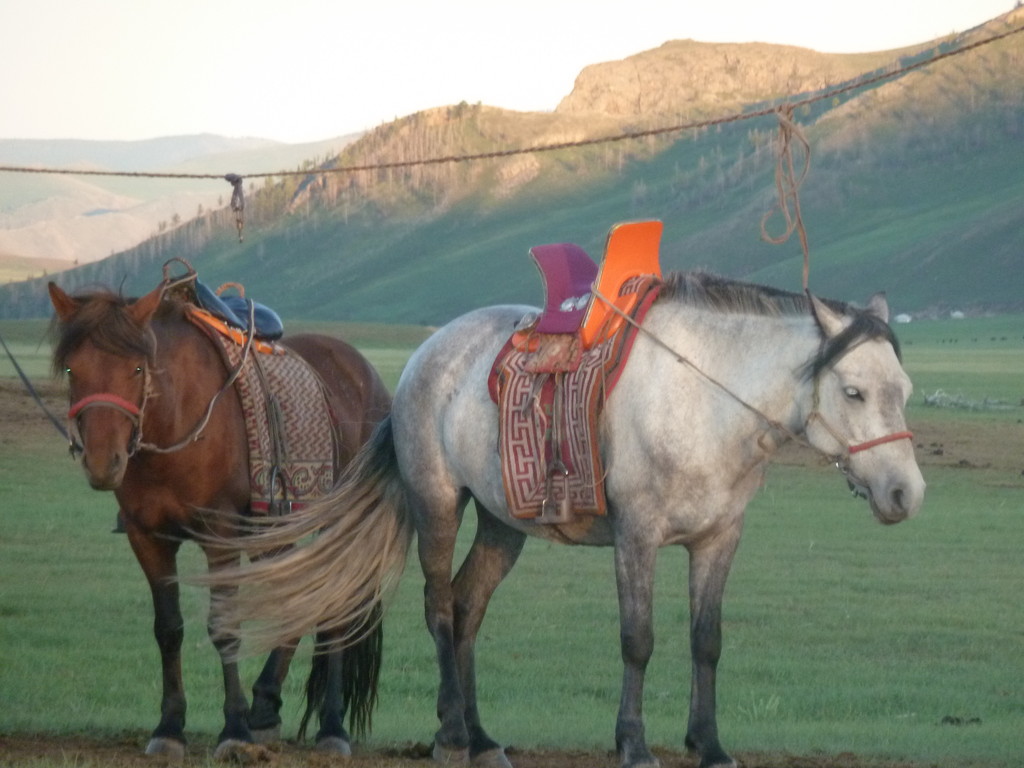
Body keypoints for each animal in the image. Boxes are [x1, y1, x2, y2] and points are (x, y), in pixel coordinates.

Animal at [47, 276, 391, 765]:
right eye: (73, 369)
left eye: (137, 368)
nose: (101, 462)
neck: (174, 420)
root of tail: (367, 375)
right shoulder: (148, 539)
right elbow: (168, 629)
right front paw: (170, 728)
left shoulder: (220, 536)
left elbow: (225, 629)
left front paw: (233, 730)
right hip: (275, 532)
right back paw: (266, 707)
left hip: (343, 522)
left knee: (338, 609)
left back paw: (331, 728)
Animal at [203, 272, 925, 768]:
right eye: (854, 391)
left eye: (905, 391)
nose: (905, 494)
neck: (704, 400)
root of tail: (423, 359)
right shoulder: (638, 537)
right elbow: (638, 639)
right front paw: (633, 744)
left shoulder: (719, 540)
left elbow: (706, 641)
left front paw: (710, 745)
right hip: (438, 503)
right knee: (440, 608)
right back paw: (451, 734)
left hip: (501, 525)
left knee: (467, 608)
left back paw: (483, 737)